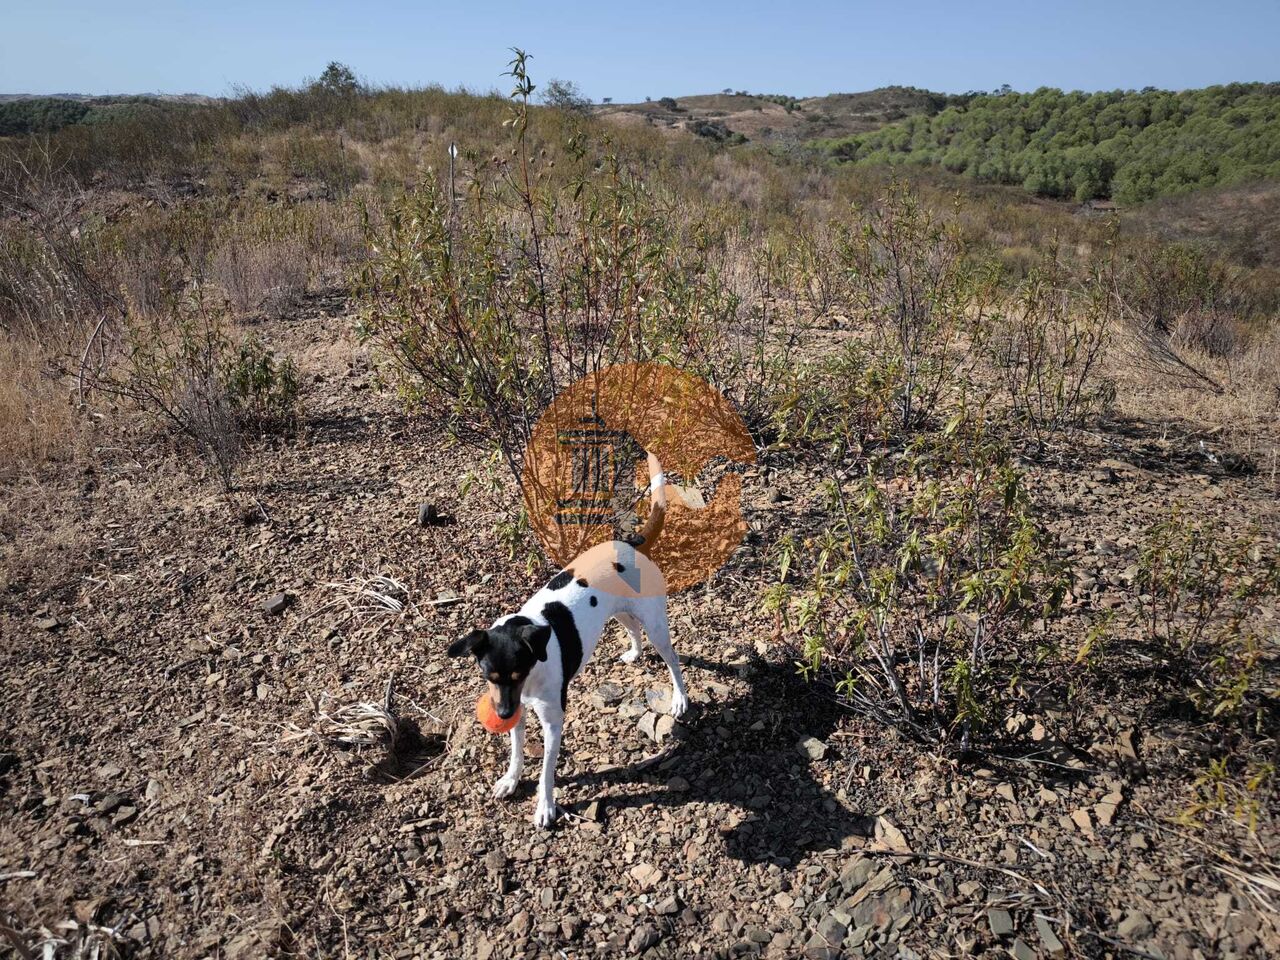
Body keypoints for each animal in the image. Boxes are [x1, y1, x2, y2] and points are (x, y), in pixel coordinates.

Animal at [450, 455, 691, 829]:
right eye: (488, 676)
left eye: (518, 673)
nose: (501, 713)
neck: (532, 676)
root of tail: (633, 544)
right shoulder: (519, 710)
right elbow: (517, 751)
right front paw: (511, 779)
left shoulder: (553, 721)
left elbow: (547, 770)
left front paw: (545, 806)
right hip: (617, 612)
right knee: (633, 630)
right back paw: (635, 654)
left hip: (656, 625)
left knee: (673, 660)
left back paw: (680, 698)